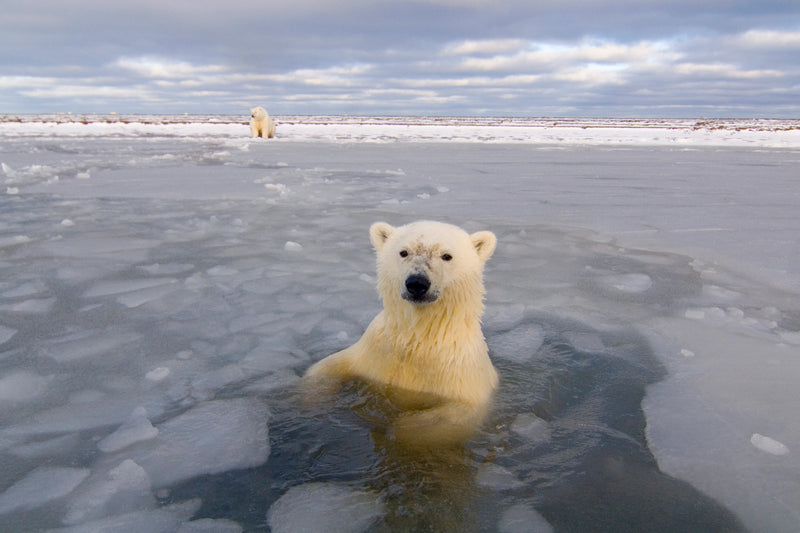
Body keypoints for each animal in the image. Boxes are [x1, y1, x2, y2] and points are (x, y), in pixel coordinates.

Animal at [304, 218, 496, 446]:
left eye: (447, 256)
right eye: (404, 252)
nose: (417, 283)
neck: (418, 336)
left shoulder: (459, 374)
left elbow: (452, 416)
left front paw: (395, 428)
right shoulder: (375, 351)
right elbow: (328, 367)